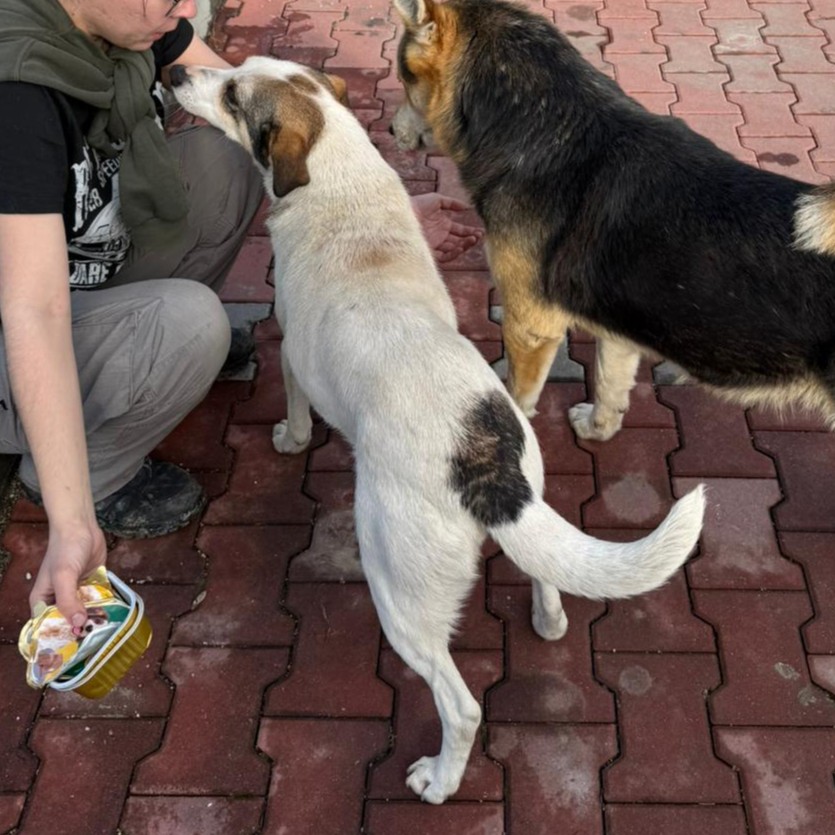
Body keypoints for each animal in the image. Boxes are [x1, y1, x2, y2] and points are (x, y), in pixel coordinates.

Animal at [169, 56, 705, 804]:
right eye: (238, 72)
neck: (342, 185)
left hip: (399, 593)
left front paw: (289, 439)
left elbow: (297, 410)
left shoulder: (294, 356)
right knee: (543, 568)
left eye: (230, 94)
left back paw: (439, 777)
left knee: (462, 705)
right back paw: (547, 618)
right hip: (531, 485)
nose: (176, 70)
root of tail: (487, 466)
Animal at [392, 0, 835, 441]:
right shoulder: (617, 324)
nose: (392, 130)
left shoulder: (530, 327)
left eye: (403, 79)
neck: (550, 131)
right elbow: (610, 385)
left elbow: (519, 399)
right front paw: (596, 429)